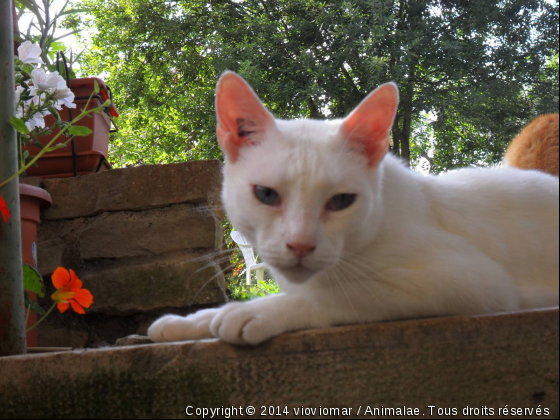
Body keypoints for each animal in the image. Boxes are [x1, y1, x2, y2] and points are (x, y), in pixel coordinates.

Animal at [149, 71, 560, 344]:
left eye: (342, 201)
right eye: (266, 194)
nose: (300, 245)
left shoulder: (477, 281)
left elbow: (342, 294)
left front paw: (255, 311)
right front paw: (188, 321)